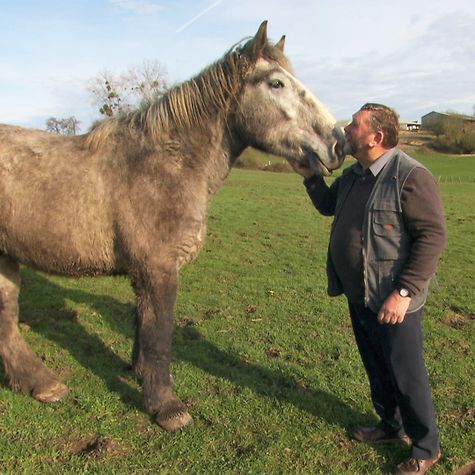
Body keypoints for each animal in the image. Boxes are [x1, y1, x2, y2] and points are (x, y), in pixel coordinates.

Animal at [0, 21, 346, 432]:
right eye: (276, 83)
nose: (338, 142)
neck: (165, 163)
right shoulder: (159, 269)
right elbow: (160, 334)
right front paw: (166, 406)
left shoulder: (148, 272)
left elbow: (144, 328)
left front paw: (141, 375)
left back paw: (40, 384)